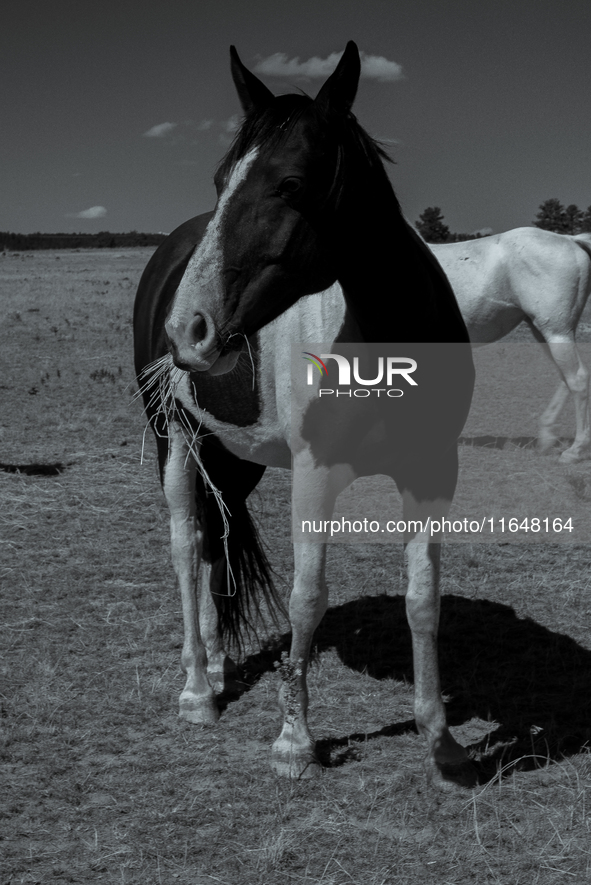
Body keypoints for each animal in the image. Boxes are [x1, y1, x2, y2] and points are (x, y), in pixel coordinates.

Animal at [134, 43, 476, 788]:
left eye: (290, 183)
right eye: (219, 179)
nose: (187, 330)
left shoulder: (433, 471)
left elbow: (423, 597)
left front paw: (440, 738)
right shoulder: (317, 474)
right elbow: (305, 597)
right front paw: (294, 740)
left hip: (231, 454)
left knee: (213, 543)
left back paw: (210, 665)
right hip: (175, 438)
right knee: (185, 547)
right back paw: (198, 690)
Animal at [430, 228, 591, 462]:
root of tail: (570, 239)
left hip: (557, 333)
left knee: (577, 379)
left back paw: (575, 450)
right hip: (546, 333)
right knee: (566, 378)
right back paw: (547, 437)